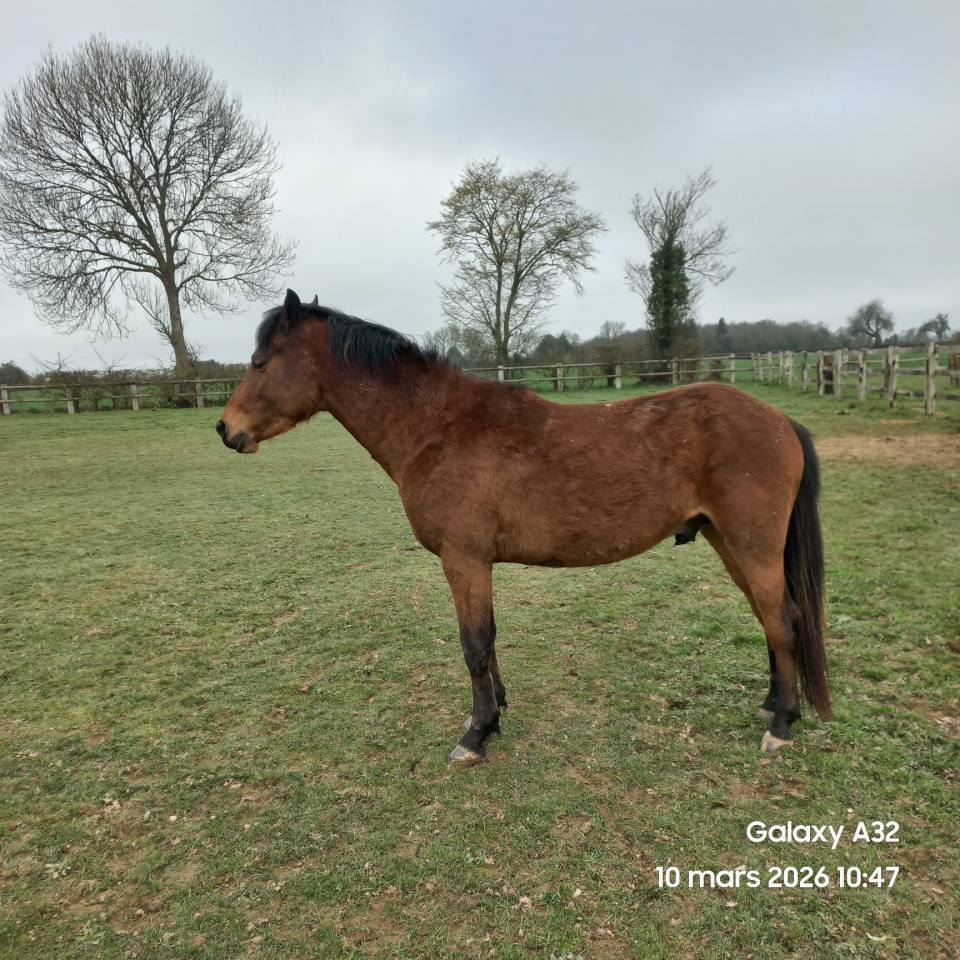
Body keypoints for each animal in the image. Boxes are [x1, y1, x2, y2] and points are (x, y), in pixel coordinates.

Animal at [217, 290, 831, 766]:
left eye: (260, 362)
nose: (226, 429)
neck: (437, 428)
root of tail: (779, 420)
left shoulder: (463, 560)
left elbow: (473, 644)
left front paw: (475, 735)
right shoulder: (475, 563)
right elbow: (488, 641)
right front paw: (495, 714)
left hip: (752, 546)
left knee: (783, 620)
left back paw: (781, 726)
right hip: (730, 544)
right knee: (771, 620)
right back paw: (773, 705)